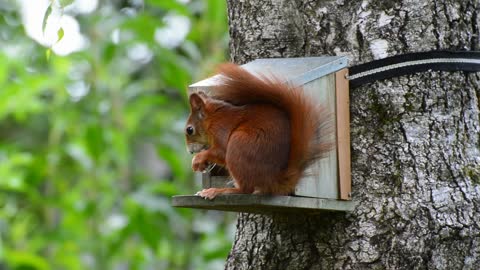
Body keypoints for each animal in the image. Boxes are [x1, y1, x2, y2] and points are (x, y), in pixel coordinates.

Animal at [186, 62, 332, 198]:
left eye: (189, 130)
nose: (190, 151)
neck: (212, 118)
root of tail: (274, 180)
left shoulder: (221, 129)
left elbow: (221, 152)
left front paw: (198, 159)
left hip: (239, 145)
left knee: (246, 190)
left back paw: (218, 191)